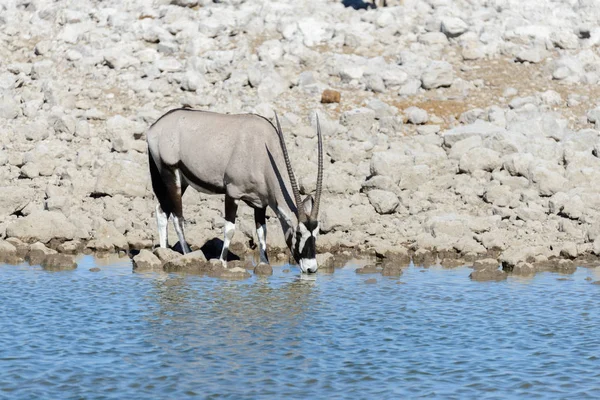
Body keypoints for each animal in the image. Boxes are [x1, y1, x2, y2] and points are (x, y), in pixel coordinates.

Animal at [146, 108, 324, 274]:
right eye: (298, 233)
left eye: (316, 234)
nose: (311, 268)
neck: (262, 150)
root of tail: (154, 127)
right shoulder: (232, 193)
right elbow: (229, 229)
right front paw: (222, 262)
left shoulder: (260, 203)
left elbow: (262, 232)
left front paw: (264, 263)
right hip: (170, 173)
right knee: (177, 217)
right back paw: (187, 253)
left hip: (181, 181)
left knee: (162, 210)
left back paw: (164, 251)